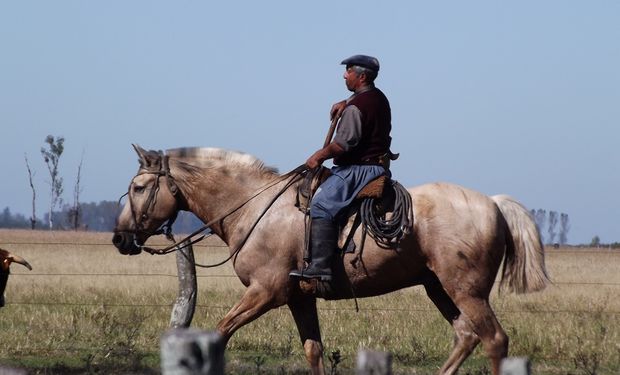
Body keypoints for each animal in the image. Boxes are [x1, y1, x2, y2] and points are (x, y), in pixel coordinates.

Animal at [111, 145, 548, 374]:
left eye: (139, 188)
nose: (119, 238)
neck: (254, 208)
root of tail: (492, 203)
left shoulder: (265, 293)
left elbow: (220, 332)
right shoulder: (298, 299)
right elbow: (313, 350)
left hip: (466, 290)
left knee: (493, 340)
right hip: (438, 287)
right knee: (466, 337)